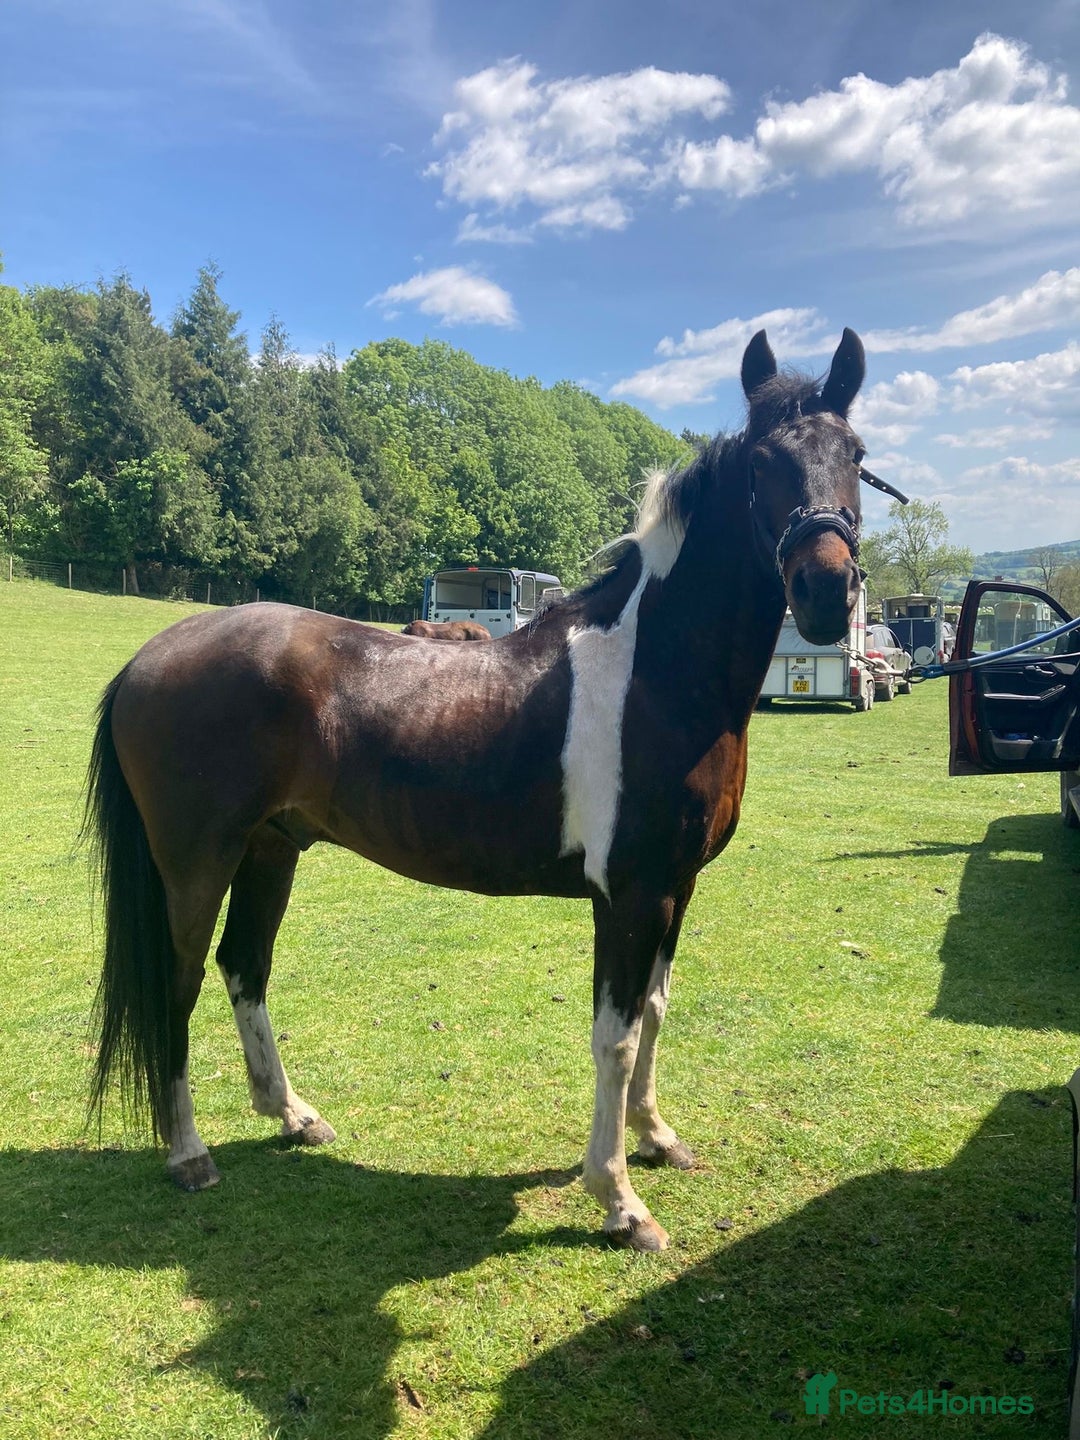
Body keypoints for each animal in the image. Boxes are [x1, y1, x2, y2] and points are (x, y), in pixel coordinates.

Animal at [85, 328, 873, 1251]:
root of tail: (146, 660)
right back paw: (189, 1154)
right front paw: (619, 1201)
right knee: (176, 983)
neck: (657, 671)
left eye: (856, 456)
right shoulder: (631, 893)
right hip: (196, 863)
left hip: (271, 849)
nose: (825, 593)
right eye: (762, 462)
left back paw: (294, 1116)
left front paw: (657, 1139)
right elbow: (614, 1036)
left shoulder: (677, 888)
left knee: (244, 966)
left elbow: (655, 1011)